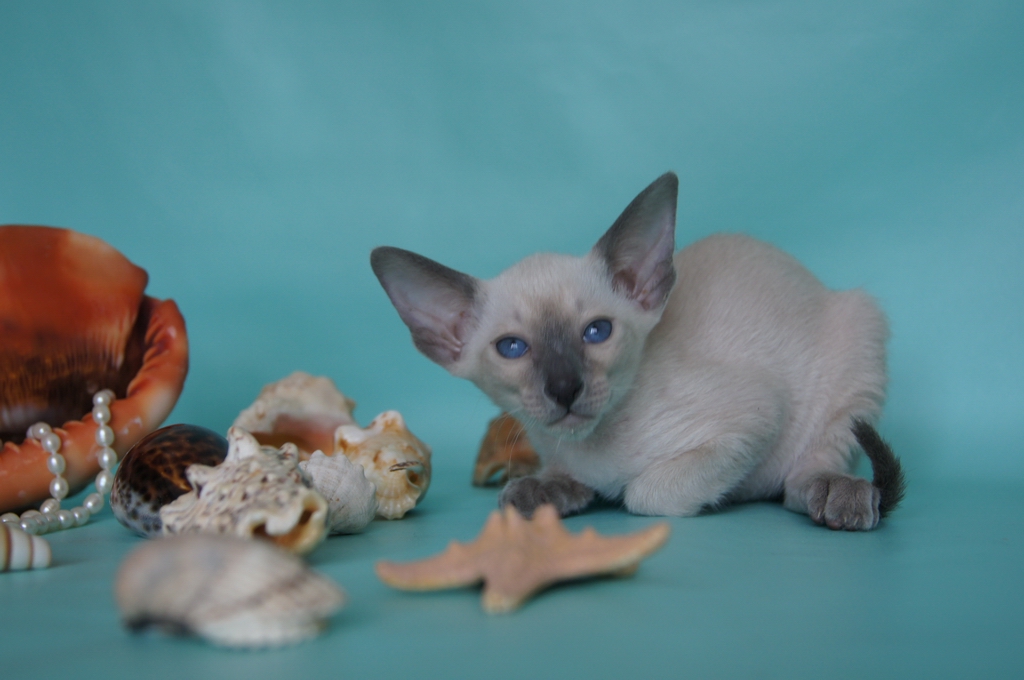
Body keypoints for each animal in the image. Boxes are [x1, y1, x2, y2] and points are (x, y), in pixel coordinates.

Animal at [371, 172, 905, 530]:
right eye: (512, 347)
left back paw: (833, 493)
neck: (590, 448)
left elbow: (645, 494)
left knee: (810, 468)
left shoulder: (755, 416)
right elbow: (548, 485)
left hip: (859, 336)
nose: (565, 388)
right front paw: (547, 489)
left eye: (597, 332)